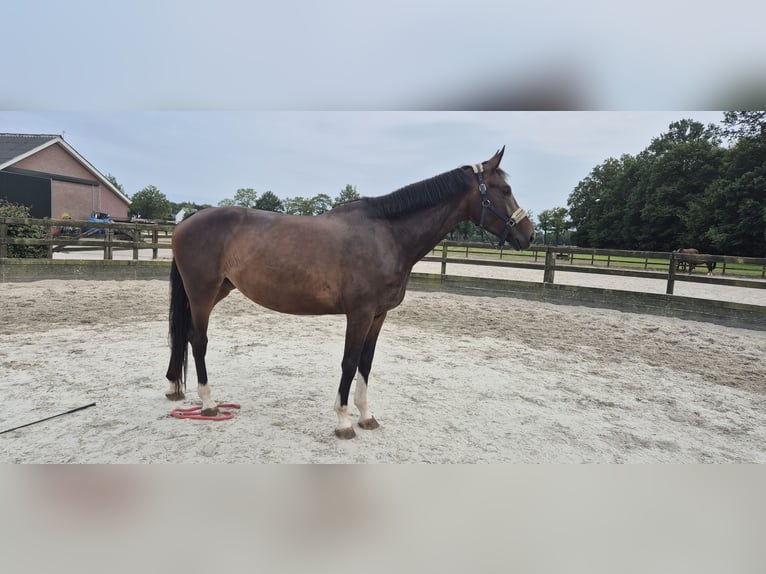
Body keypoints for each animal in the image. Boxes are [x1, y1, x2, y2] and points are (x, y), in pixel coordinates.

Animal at [164, 146, 536, 438]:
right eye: (505, 189)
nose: (529, 235)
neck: (387, 235)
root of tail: (189, 219)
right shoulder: (358, 314)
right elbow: (349, 361)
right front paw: (344, 421)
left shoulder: (378, 315)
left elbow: (366, 363)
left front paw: (366, 416)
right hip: (202, 293)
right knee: (198, 339)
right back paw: (209, 403)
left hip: (216, 291)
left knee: (182, 335)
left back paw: (174, 388)